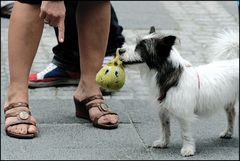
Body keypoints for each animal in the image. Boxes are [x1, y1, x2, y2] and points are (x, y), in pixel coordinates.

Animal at [121, 27, 239, 157]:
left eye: (141, 47)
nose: (120, 50)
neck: (172, 77)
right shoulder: (163, 110)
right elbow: (165, 127)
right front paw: (163, 142)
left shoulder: (184, 115)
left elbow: (185, 133)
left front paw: (188, 149)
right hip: (228, 100)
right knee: (231, 114)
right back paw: (228, 132)